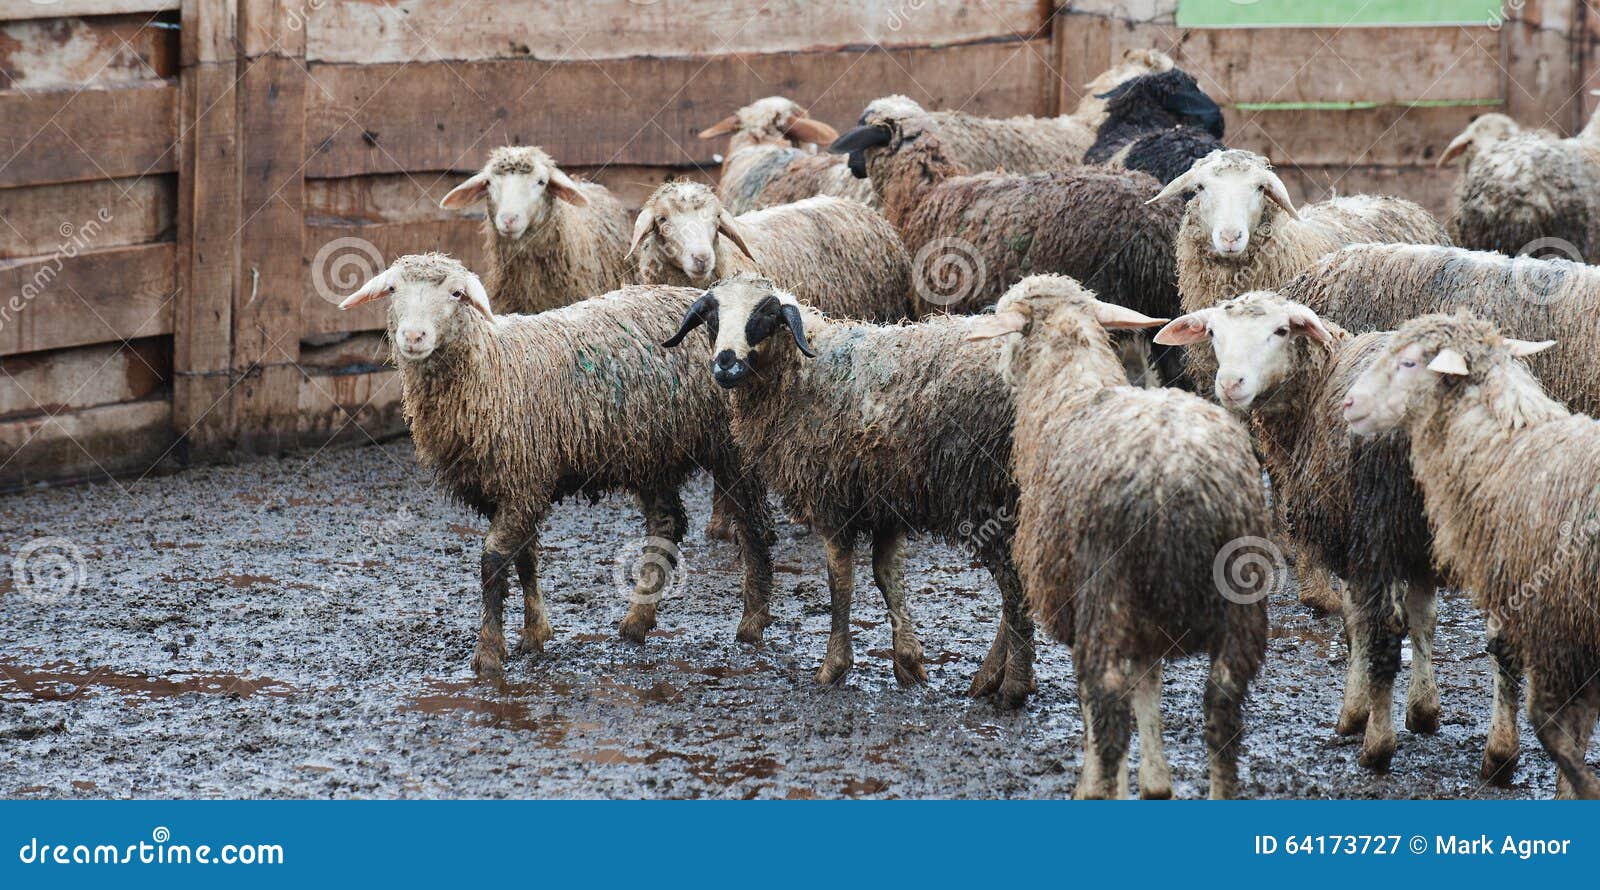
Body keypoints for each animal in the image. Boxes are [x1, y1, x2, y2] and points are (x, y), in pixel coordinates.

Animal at [337, 253, 774, 682]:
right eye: (392, 289)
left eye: (457, 293)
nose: (413, 337)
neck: (491, 372)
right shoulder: (512, 486)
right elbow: (526, 556)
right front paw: (535, 633)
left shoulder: (522, 479)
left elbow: (493, 562)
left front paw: (489, 653)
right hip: (652, 455)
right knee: (666, 524)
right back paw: (637, 620)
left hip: (733, 446)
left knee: (752, 525)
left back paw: (752, 623)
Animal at [660, 273, 1036, 707]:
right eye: (712, 318)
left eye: (764, 318)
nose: (725, 363)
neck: (805, 374)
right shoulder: (884, 503)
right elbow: (886, 576)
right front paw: (909, 663)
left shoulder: (832, 500)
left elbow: (840, 581)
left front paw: (833, 668)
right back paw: (991, 679)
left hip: (985, 498)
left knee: (1014, 588)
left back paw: (1012, 686)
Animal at [967, 274, 1269, 799]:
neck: (1071, 388)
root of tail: (1181, 486)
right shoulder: (1143, 628)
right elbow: (1147, 686)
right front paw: (1155, 782)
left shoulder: (1080, 606)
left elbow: (1101, 708)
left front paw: (1108, 780)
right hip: (1239, 613)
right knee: (1223, 722)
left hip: (1107, 595)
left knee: (1108, 715)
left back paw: (1094, 786)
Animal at [1155, 292, 1445, 773]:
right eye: (1213, 332)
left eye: (1280, 331)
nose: (1230, 383)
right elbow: (1425, 617)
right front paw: (1424, 712)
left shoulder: (1345, 532)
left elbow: (1356, 623)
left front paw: (1355, 713)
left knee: (1385, 626)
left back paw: (1376, 745)